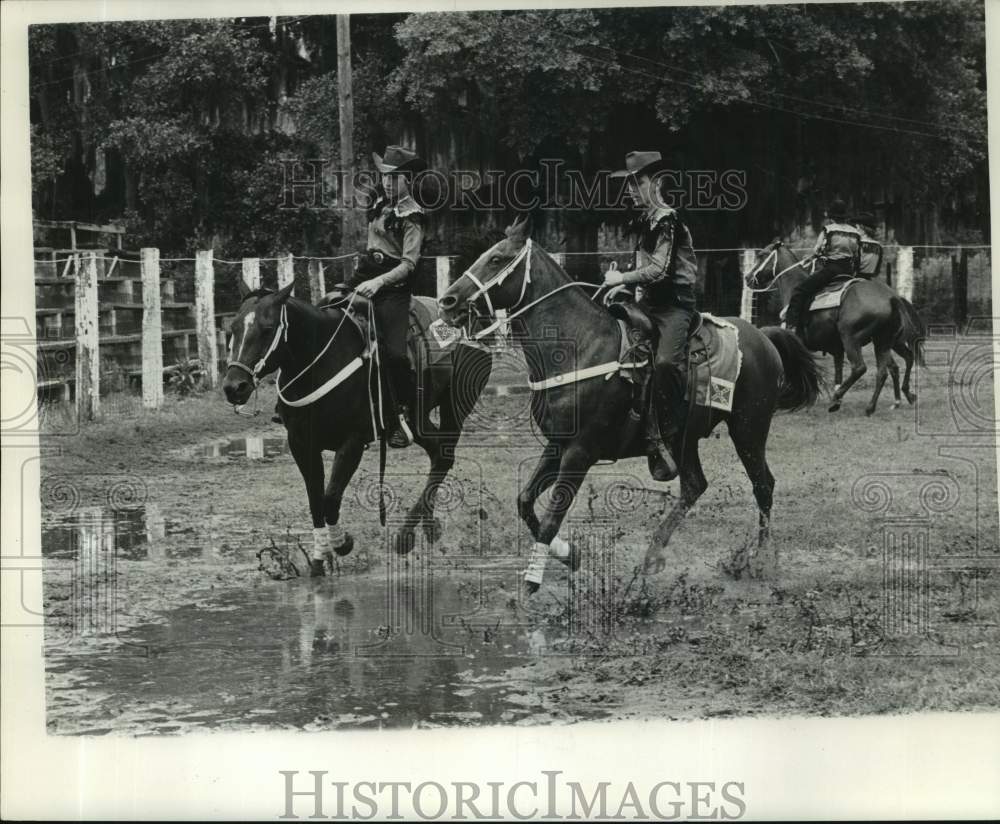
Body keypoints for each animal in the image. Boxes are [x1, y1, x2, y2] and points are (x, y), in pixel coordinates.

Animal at [224, 282, 496, 572]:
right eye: (233, 329)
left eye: (267, 329)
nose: (234, 387)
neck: (322, 359)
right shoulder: (301, 443)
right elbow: (315, 500)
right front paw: (319, 560)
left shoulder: (352, 442)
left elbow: (330, 498)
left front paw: (342, 544)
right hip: (418, 421)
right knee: (437, 454)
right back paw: (428, 525)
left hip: (453, 408)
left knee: (444, 457)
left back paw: (406, 535)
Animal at [438, 217, 820, 592]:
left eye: (496, 259)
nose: (448, 301)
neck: (581, 347)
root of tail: (763, 338)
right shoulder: (557, 445)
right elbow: (525, 501)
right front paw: (569, 554)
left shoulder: (581, 451)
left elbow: (551, 515)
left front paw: (533, 579)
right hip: (685, 439)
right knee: (694, 485)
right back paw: (653, 556)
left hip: (748, 428)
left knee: (763, 485)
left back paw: (760, 560)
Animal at [748, 241, 924, 416]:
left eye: (762, 255)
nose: (747, 277)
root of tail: (892, 298)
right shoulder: (837, 349)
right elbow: (837, 373)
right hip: (883, 342)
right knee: (888, 369)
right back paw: (876, 405)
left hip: (851, 338)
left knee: (861, 368)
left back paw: (839, 398)